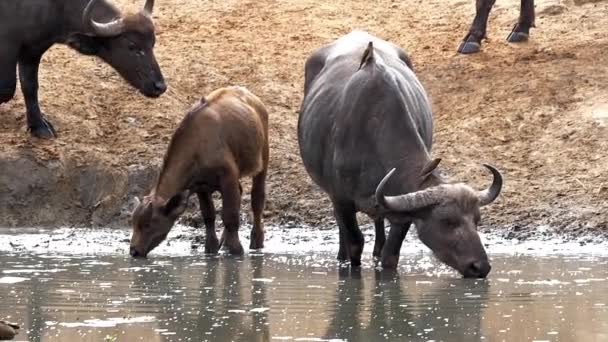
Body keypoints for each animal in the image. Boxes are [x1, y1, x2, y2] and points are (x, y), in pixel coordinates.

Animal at [0, 0, 166, 139]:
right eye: (131, 46)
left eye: (152, 44)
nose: (160, 86)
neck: (54, 8)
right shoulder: (9, 45)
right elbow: (7, 90)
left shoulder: (33, 50)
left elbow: (30, 86)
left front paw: (38, 126)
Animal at [130, 87, 268, 258]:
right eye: (133, 223)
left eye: (148, 224)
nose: (134, 251)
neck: (197, 147)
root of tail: (253, 98)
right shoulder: (201, 186)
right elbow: (208, 215)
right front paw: (211, 248)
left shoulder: (228, 177)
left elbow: (230, 215)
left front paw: (236, 249)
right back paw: (225, 242)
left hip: (263, 158)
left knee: (257, 199)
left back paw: (256, 241)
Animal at [300, 31, 504, 278]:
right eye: (447, 221)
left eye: (477, 220)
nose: (480, 266)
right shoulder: (341, 200)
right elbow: (355, 243)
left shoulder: (402, 212)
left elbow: (390, 257)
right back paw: (341, 256)